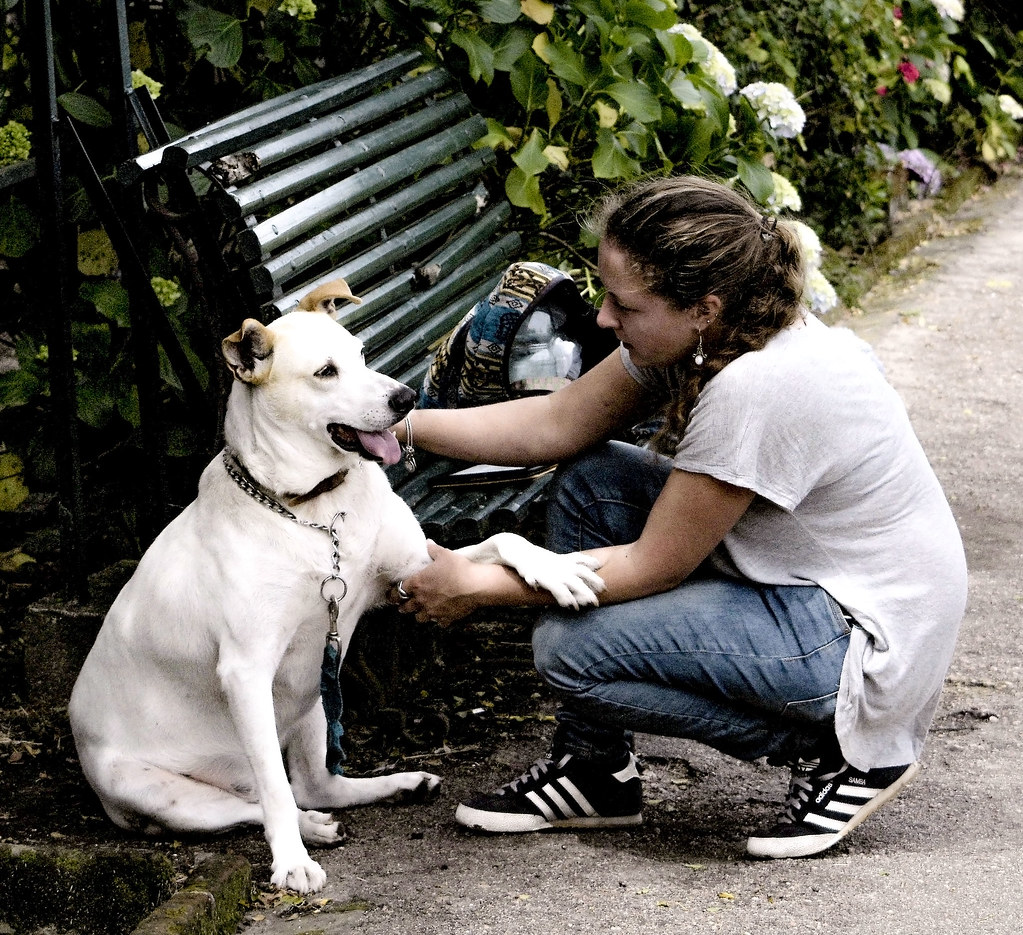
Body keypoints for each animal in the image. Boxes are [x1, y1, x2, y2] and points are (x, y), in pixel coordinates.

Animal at [70, 296, 605, 887]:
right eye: (326, 372)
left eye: (363, 354)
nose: (405, 398)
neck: (315, 509)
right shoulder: (246, 670)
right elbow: (274, 789)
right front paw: (291, 863)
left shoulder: (413, 571)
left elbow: (506, 538)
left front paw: (557, 570)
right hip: (165, 792)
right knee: (261, 800)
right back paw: (309, 832)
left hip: (314, 696)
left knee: (317, 784)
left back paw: (398, 785)